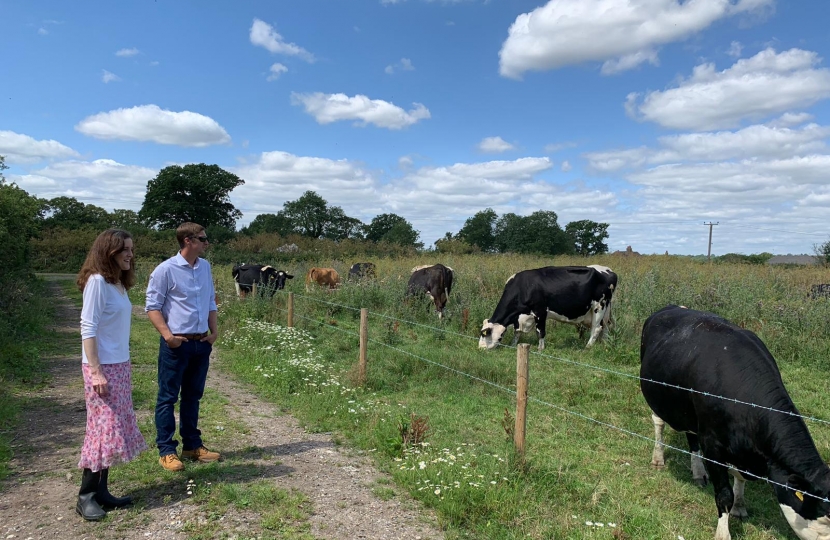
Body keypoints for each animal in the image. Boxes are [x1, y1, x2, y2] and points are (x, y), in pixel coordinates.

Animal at [478, 264, 616, 350]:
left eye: (485, 334)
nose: (480, 348)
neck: (524, 287)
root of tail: (609, 270)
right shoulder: (521, 317)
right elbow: (517, 331)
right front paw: (513, 345)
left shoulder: (540, 311)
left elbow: (540, 332)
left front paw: (540, 349)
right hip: (606, 309)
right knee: (606, 327)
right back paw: (604, 345)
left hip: (599, 306)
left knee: (596, 328)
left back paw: (587, 348)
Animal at [644, 304, 830, 540]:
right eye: (826, 516)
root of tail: (673, 306)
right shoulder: (712, 445)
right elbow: (724, 494)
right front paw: (723, 532)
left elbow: (739, 479)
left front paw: (739, 507)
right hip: (657, 396)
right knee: (658, 424)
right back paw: (658, 459)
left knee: (691, 437)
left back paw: (698, 473)